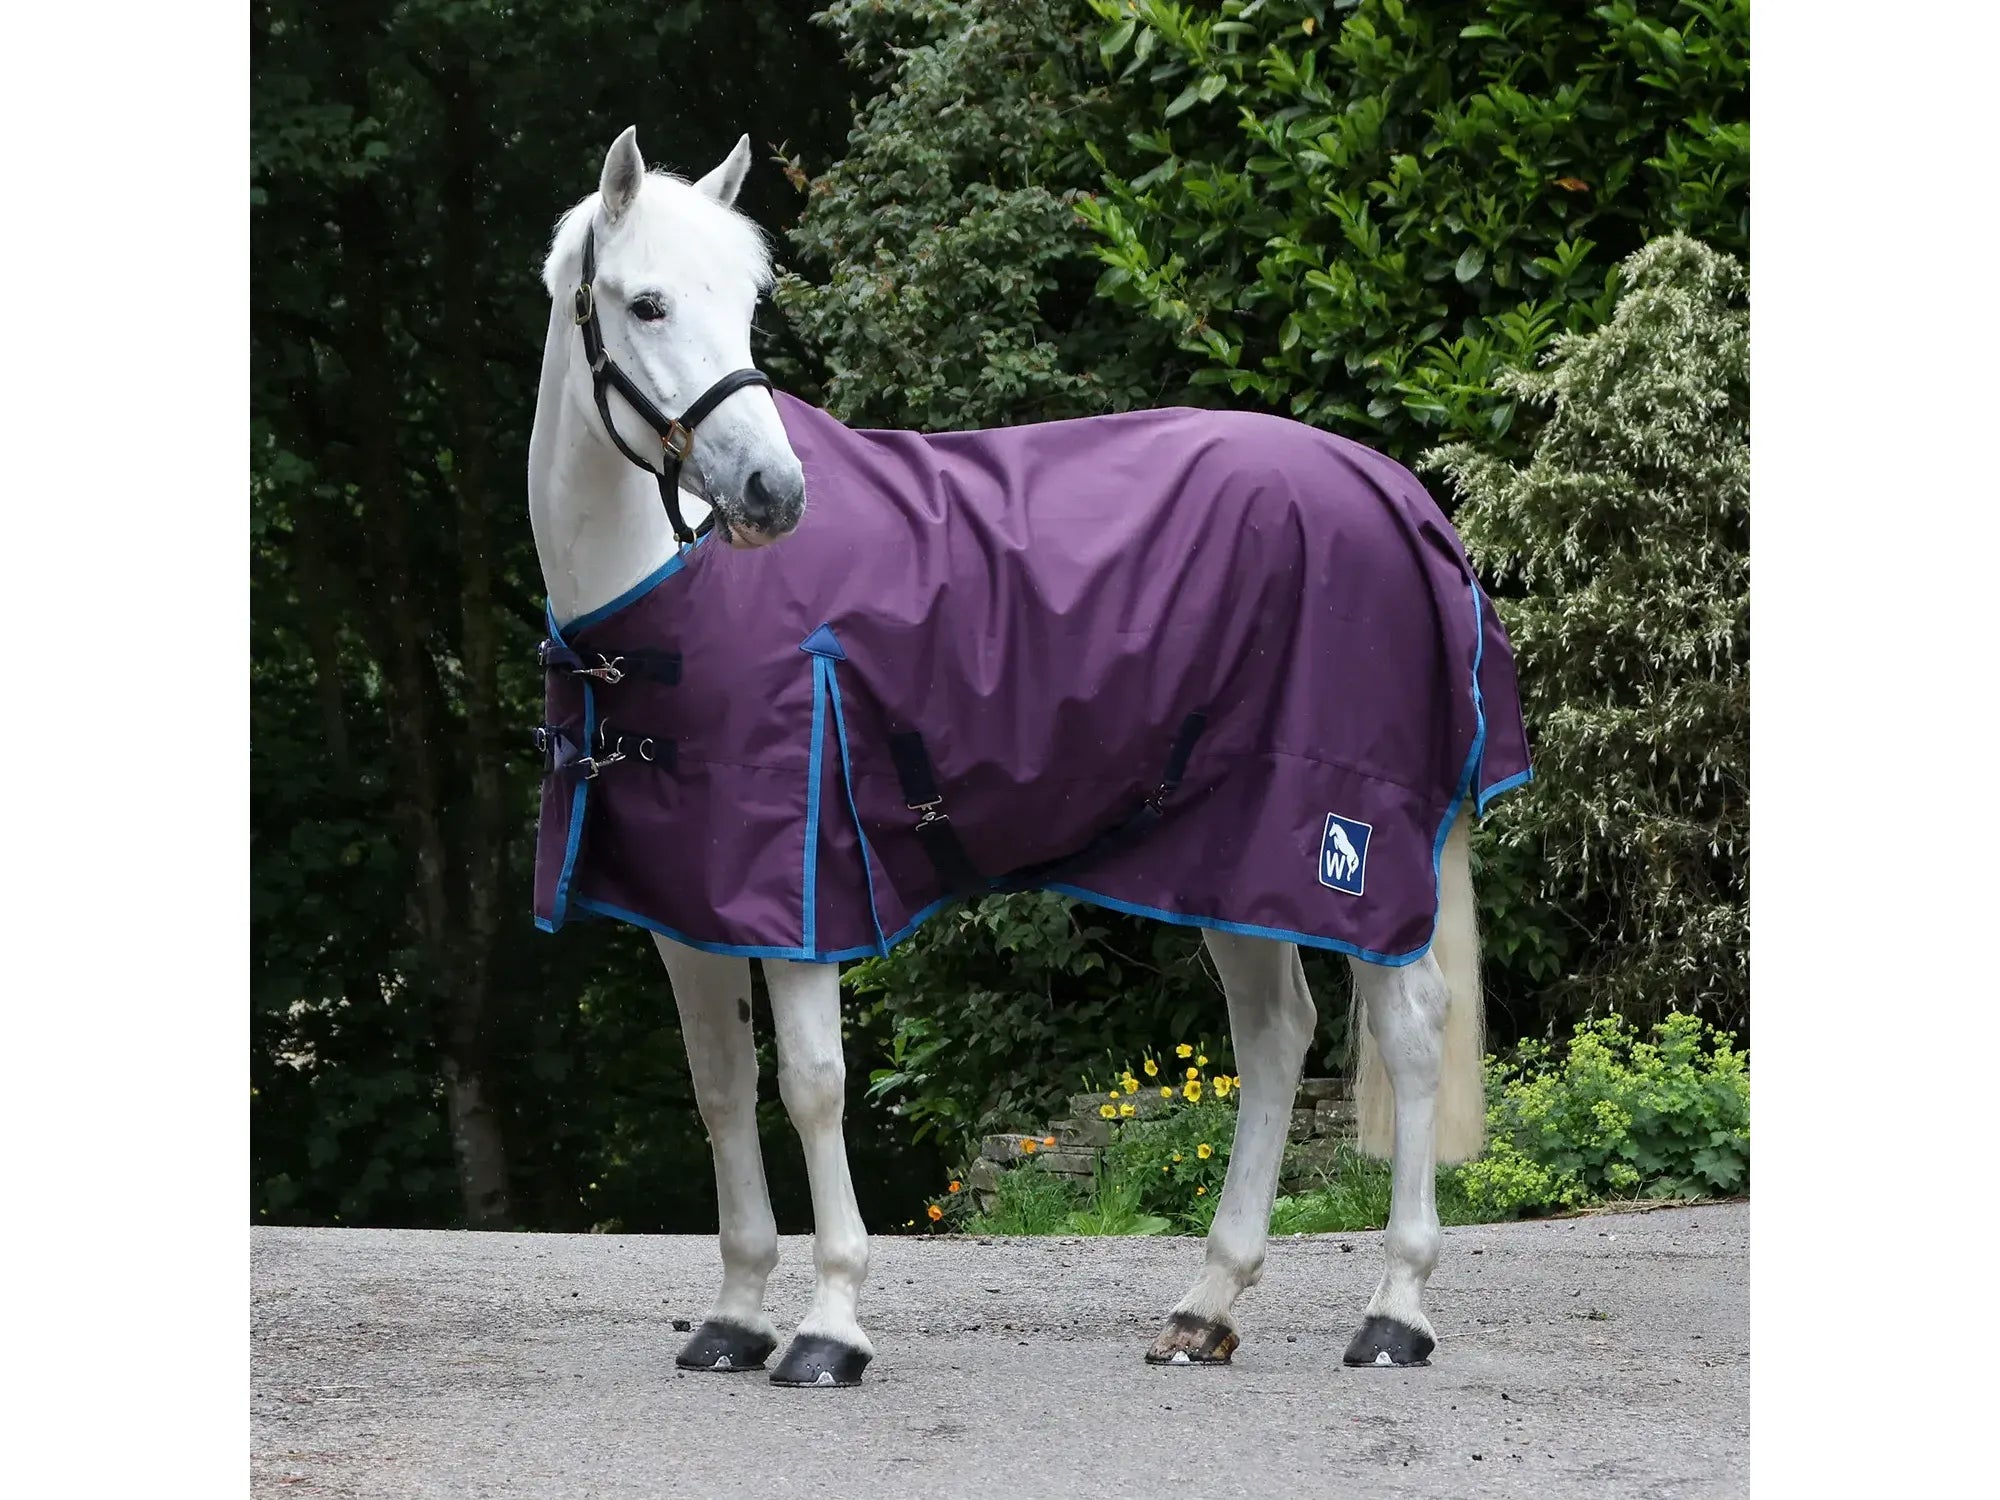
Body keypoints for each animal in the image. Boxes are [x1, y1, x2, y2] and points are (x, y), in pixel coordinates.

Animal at [526, 128, 1523, 1387]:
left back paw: (1393, 1310)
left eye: (747, 303)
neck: (672, 594)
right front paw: (736, 1317)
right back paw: (1204, 1306)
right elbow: (720, 1088)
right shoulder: (690, 909)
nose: (774, 494)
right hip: (1226, 857)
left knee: (1407, 1032)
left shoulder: (808, 897)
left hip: (1346, 847)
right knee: (1274, 1033)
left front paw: (827, 1327)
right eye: (646, 302)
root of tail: (1396, 497)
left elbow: (811, 1089)